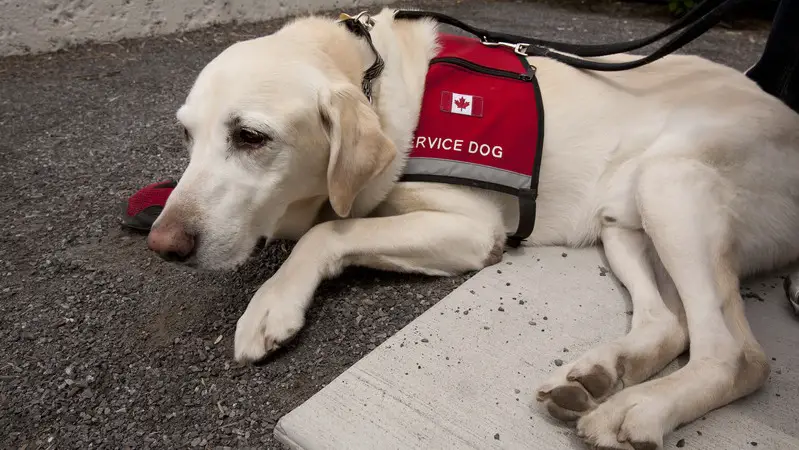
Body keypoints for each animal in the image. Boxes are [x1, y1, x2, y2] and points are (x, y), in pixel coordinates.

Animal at [147, 7, 799, 450]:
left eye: (250, 137)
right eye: (187, 134)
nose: (163, 244)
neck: (374, 79)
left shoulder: (471, 227)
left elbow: (328, 233)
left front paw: (271, 304)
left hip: (671, 184)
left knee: (735, 356)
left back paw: (639, 408)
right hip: (622, 217)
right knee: (668, 321)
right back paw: (599, 376)